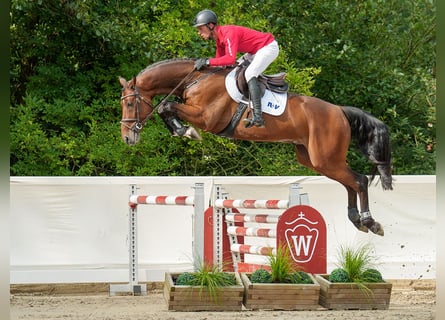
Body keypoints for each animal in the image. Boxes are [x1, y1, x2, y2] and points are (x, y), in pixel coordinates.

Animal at [119, 58, 392, 236]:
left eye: (130, 104)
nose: (127, 138)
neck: (195, 80)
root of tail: (339, 111)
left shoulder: (207, 118)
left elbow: (167, 107)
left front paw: (186, 131)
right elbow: (166, 108)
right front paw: (181, 131)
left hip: (326, 158)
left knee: (358, 181)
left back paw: (371, 222)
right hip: (315, 160)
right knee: (349, 183)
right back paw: (357, 220)